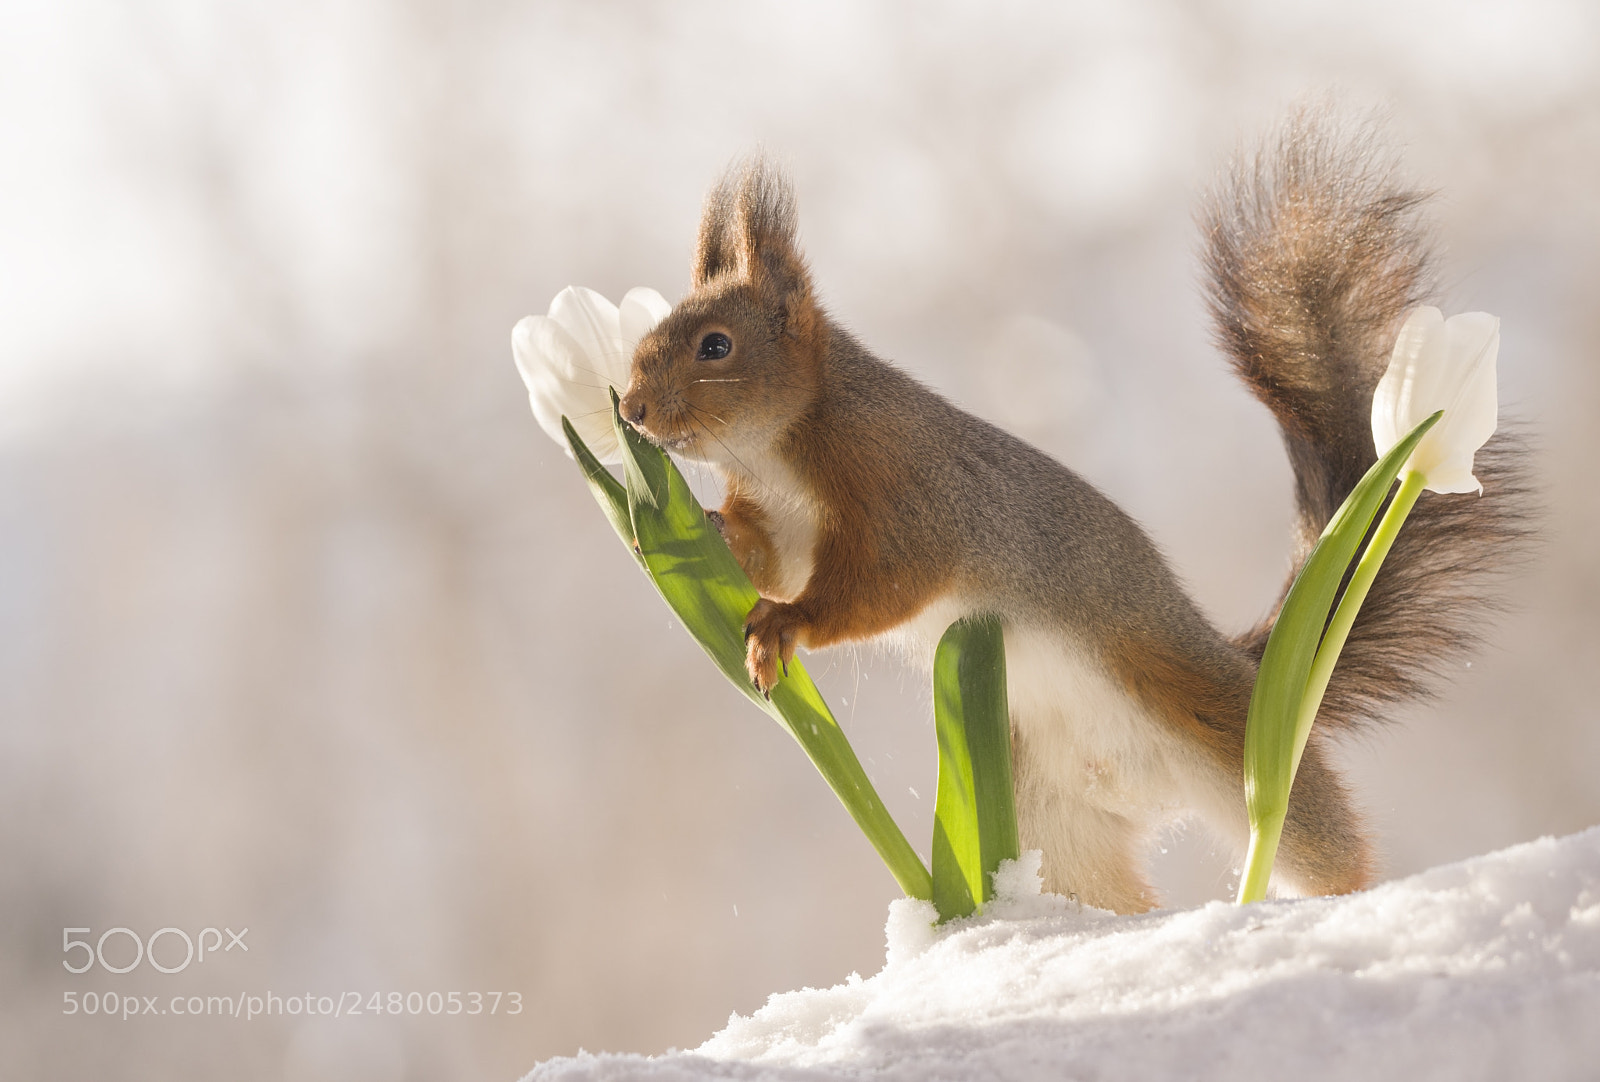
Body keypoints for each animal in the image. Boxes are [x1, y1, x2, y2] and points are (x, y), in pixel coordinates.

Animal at [617, 112, 1530, 914]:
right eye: (646, 342)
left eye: (714, 346)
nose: (629, 410)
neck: (779, 453)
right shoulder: (786, 523)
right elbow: (765, 557)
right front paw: (694, 531)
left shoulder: (910, 494)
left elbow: (885, 584)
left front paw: (785, 626)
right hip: (1060, 830)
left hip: (1241, 749)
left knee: (1317, 845)